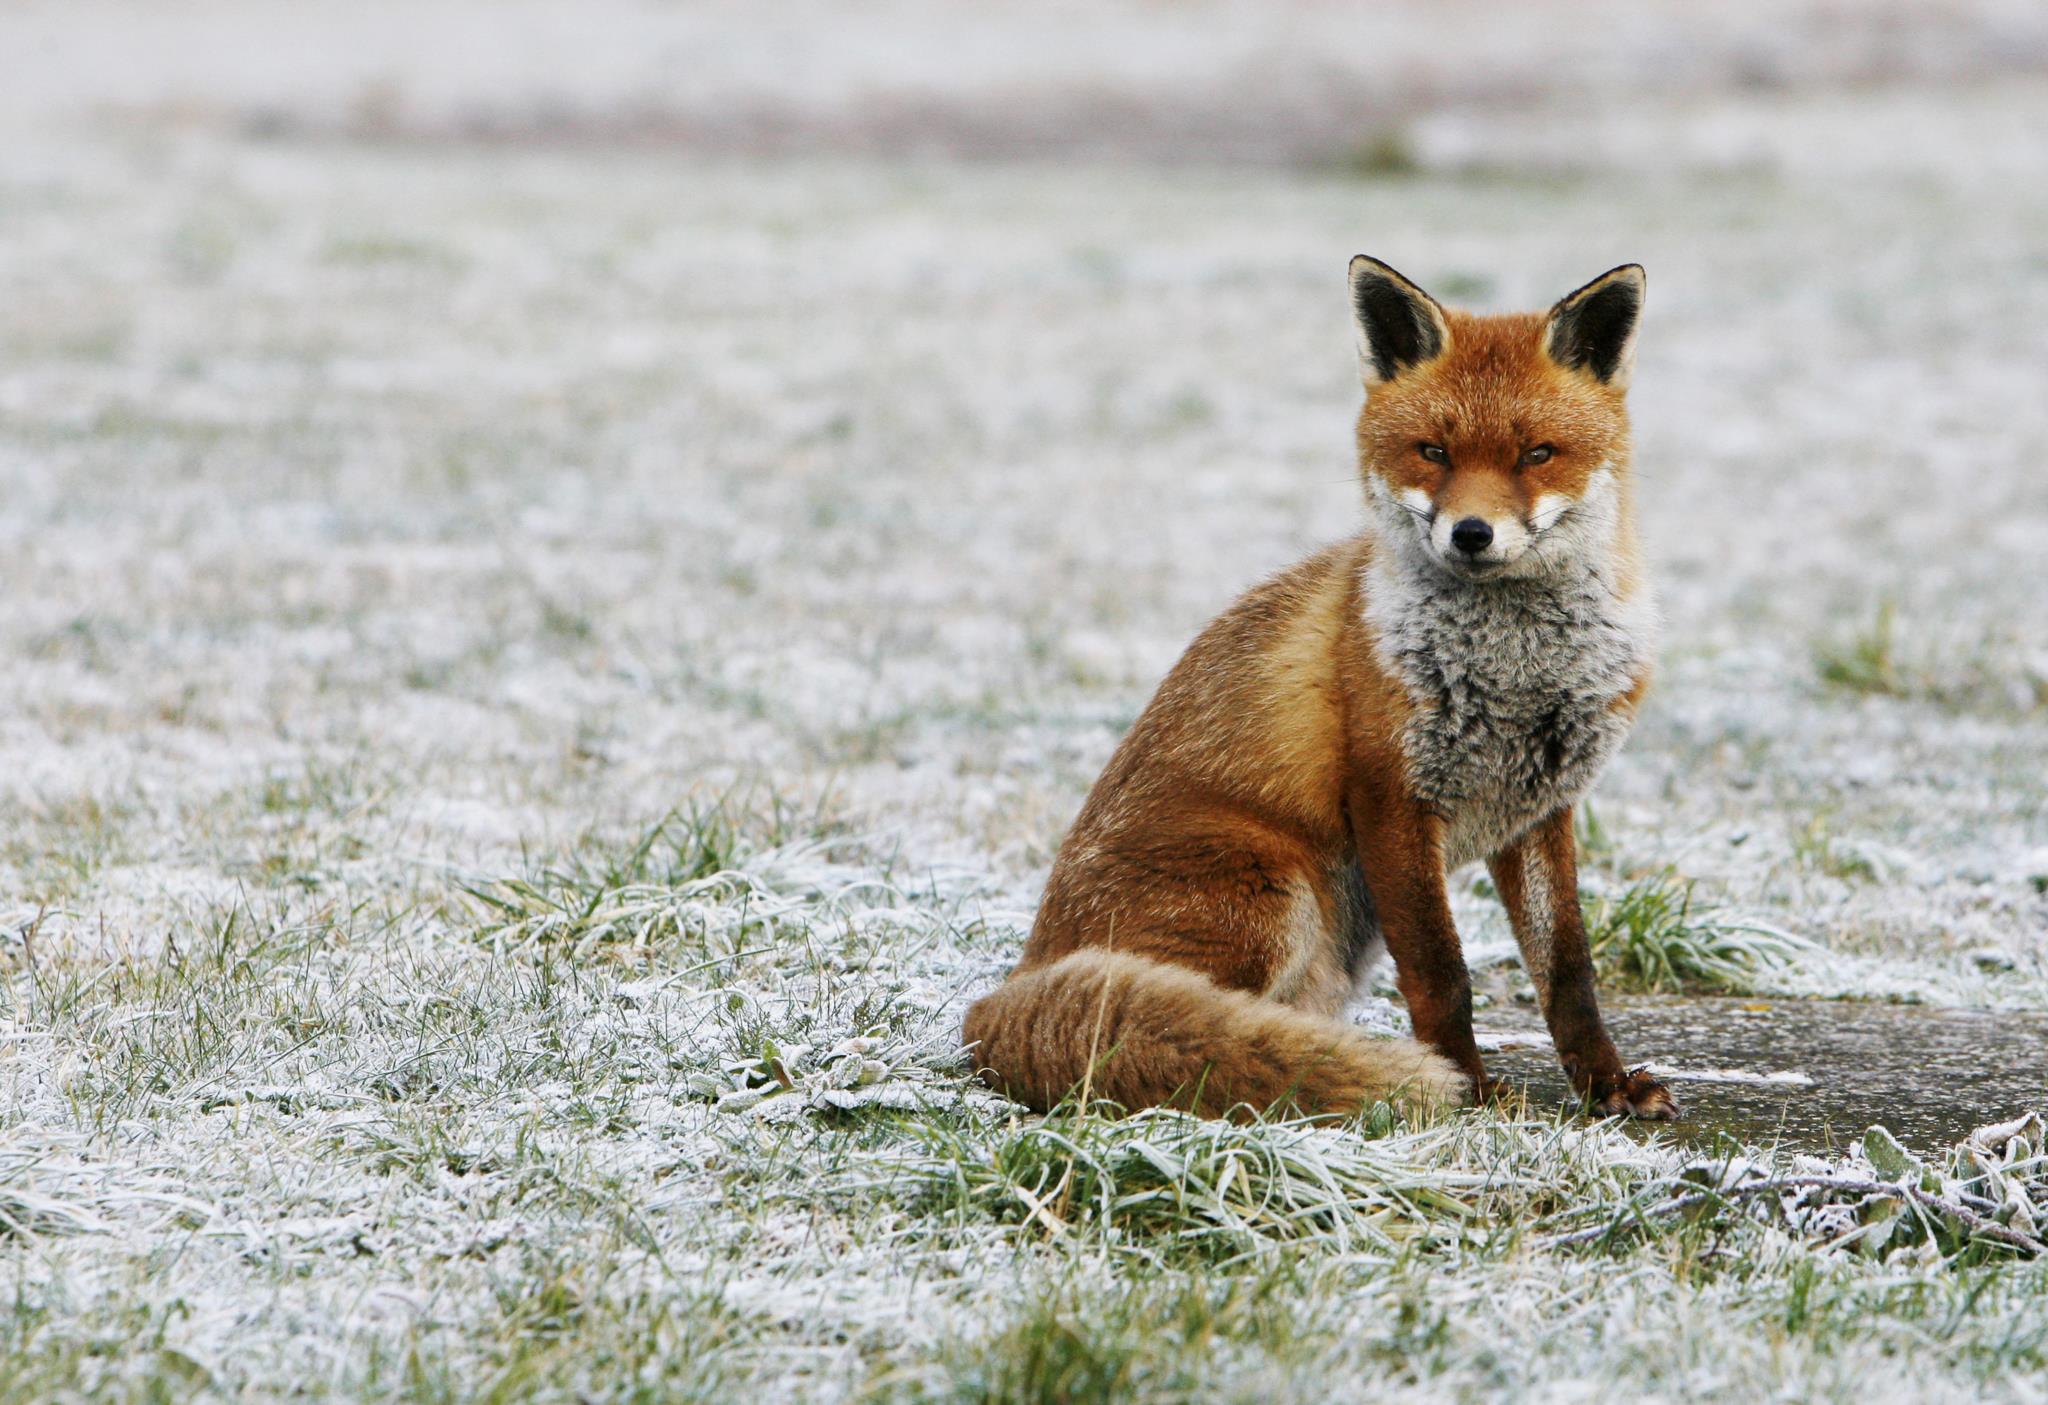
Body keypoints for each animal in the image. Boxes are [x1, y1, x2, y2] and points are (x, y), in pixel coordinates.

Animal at [962, 259, 1679, 1122]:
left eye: (1537, 453)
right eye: (1433, 451)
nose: (1472, 534)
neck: (1515, 672)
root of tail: (1000, 996)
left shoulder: (1540, 810)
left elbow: (1569, 973)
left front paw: (1608, 1085)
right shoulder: (1390, 796)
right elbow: (1442, 974)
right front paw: (1467, 1091)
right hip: (1276, 892)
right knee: (1194, 1020)